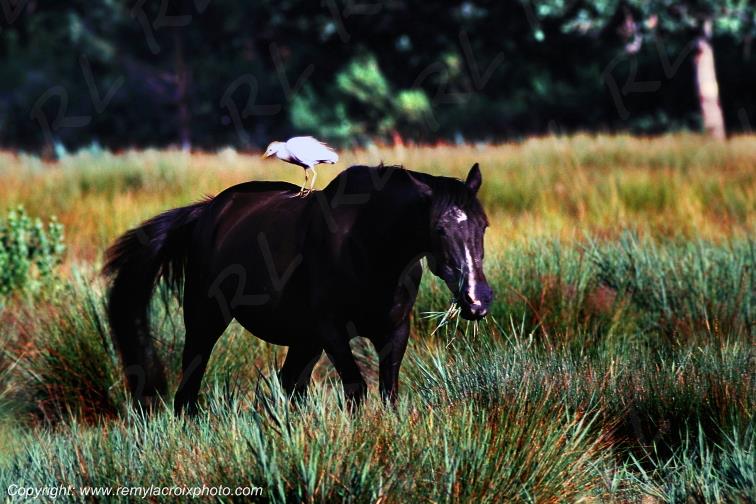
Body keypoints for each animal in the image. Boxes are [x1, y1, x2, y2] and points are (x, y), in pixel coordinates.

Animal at [103, 163, 493, 414]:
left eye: (484, 225)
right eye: (438, 229)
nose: (477, 300)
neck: (366, 247)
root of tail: (207, 211)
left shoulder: (394, 330)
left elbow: (388, 392)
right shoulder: (332, 332)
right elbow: (356, 389)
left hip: (303, 340)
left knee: (291, 385)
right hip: (205, 317)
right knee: (191, 380)